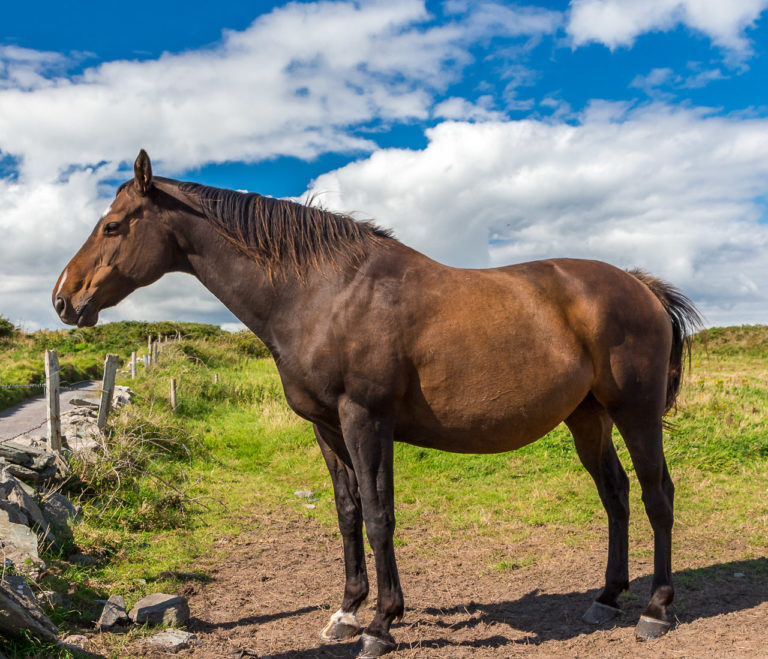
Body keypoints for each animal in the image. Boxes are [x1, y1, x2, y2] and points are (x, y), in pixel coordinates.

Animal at [54, 150, 701, 657]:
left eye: (113, 227)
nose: (63, 298)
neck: (321, 292)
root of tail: (640, 286)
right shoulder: (326, 428)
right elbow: (348, 513)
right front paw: (346, 612)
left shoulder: (365, 420)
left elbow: (379, 512)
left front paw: (382, 624)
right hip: (587, 417)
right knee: (616, 495)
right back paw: (606, 598)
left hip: (636, 414)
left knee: (656, 495)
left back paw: (655, 611)